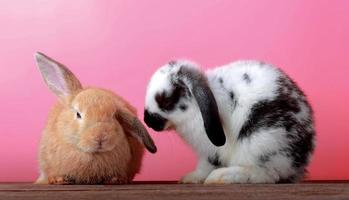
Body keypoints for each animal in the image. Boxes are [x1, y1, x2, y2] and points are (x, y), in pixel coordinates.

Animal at [143, 60, 314, 184]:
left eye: (165, 101)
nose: (147, 120)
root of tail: (298, 164)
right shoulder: (207, 153)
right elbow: (203, 168)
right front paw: (190, 179)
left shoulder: (210, 148)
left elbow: (205, 166)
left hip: (261, 139)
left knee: (267, 174)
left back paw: (220, 177)